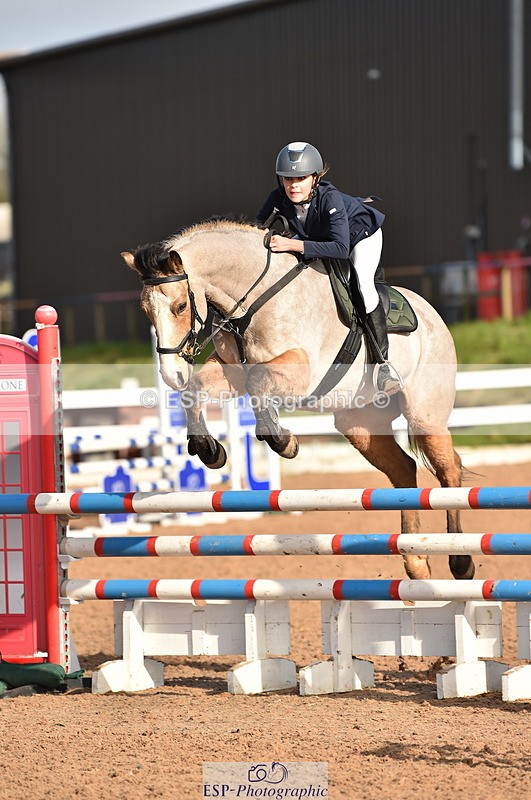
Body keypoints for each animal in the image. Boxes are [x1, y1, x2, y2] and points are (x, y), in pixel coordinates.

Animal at [122, 217, 473, 582]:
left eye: (180, 307)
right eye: (145, 310)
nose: (171, 375)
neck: (253, 299)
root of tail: (433, 315)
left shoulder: (301, 371)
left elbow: (259, 381)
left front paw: (283, 441)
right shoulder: (232, 373)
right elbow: (199, 388)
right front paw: (210, 450)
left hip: (424, 415)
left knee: (448, 469)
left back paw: (460, 561)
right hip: (358, 423)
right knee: (403, 469)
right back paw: (416, 562)